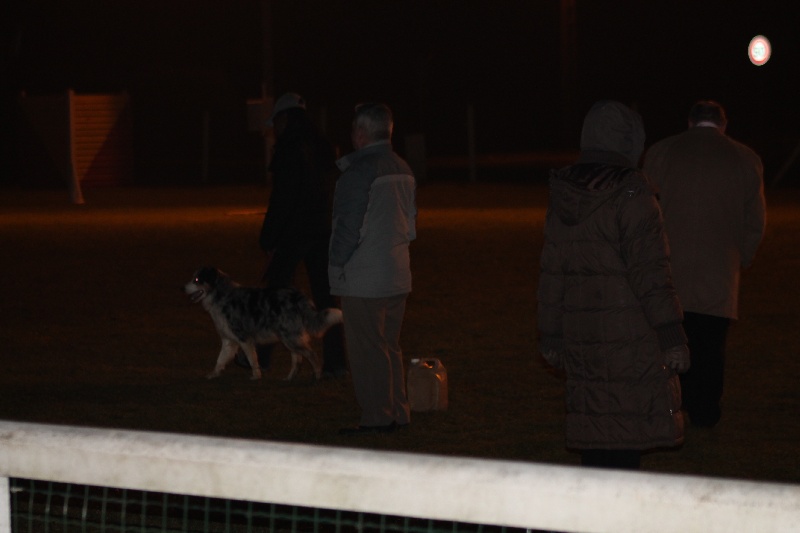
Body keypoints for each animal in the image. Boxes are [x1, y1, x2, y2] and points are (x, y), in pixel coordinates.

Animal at [184, 266, 344, 378]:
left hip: (290, 337)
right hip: (289, 337)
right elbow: (220, 359)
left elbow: (252, 359)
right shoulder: (229, 340)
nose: (181, 288)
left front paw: (256, 376)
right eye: (193, 278)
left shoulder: (243, 338)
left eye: (197, 280)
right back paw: (289, 378)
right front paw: (213, 374)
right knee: (297, 359)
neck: (221, 295)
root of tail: (298, 296)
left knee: (311, 354)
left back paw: (317, 375)